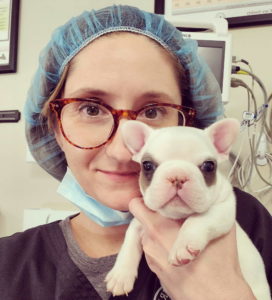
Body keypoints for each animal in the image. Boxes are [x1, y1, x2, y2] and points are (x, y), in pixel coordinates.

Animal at [105, 118, 268, 298]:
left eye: (209, 166)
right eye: (147, 165)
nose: (177, 176)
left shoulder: (224, 208)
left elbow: (198, 219)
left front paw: (183, 245)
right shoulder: (139, 223)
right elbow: (129, 242)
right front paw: (120, 275)